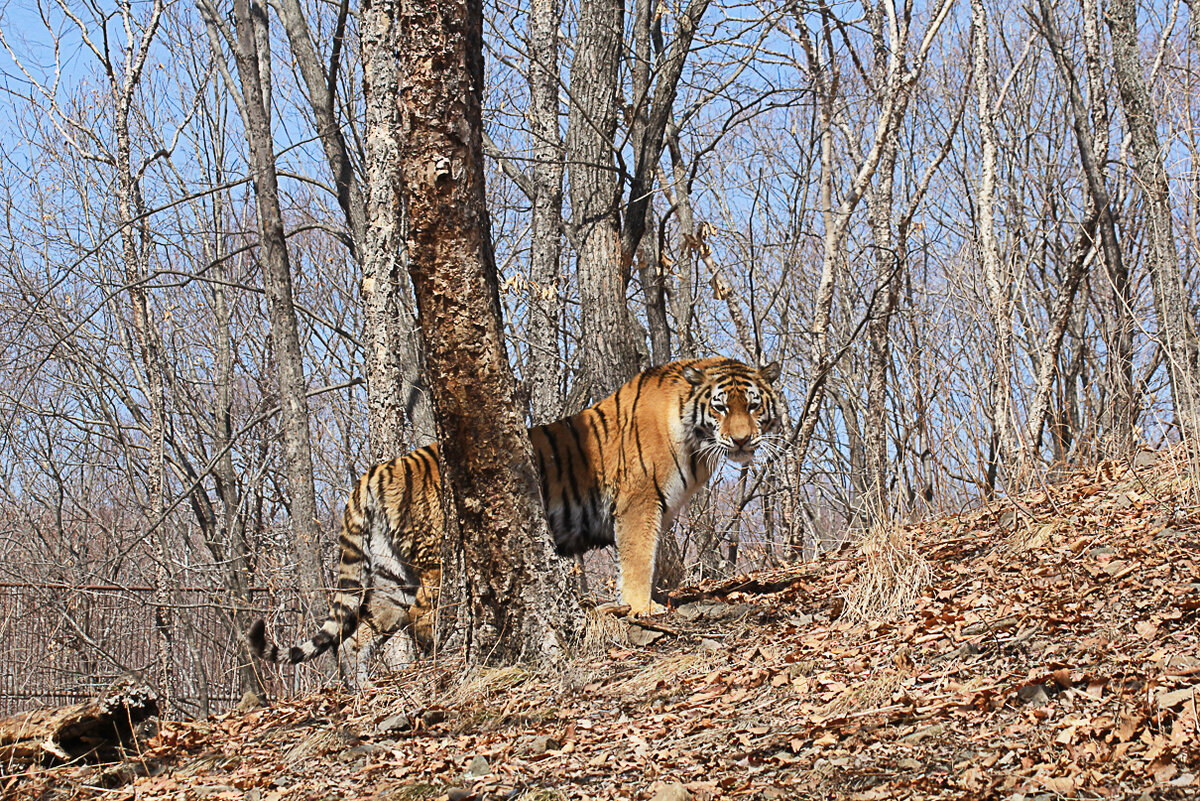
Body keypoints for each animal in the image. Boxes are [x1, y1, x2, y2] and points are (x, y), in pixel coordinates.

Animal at [248, 357, 782, 681]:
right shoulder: (638, 503)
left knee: (356, 637)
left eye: (753, 406)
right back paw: (443, 655)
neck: (695, 438)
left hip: (389, 575)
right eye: (721, 407)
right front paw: (642, 608)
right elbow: (637, 559)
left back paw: (363, 692)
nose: (741, 441)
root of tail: (374, 470)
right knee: (420, 620)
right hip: (435, 563)